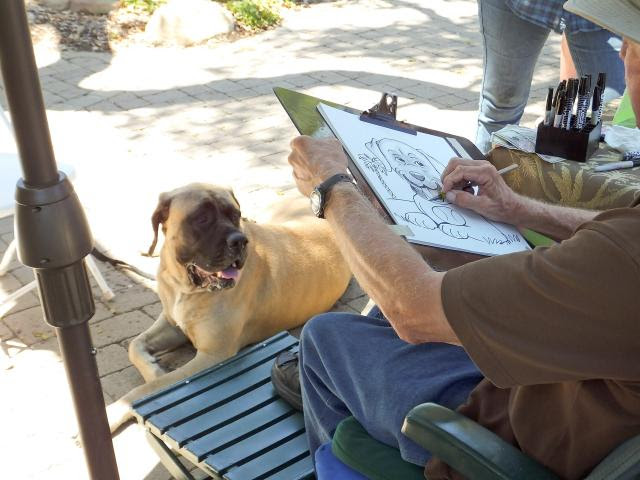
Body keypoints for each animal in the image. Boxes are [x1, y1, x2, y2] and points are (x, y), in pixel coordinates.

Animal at [107, 183, 352, 432]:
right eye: (201, 218)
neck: (186, 287)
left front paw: (115, 410)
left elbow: (148, 388)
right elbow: (134, 345)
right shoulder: (172, 322)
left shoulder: (212, 356)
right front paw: (154, 369)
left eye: (234, 215)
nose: (239, 241)